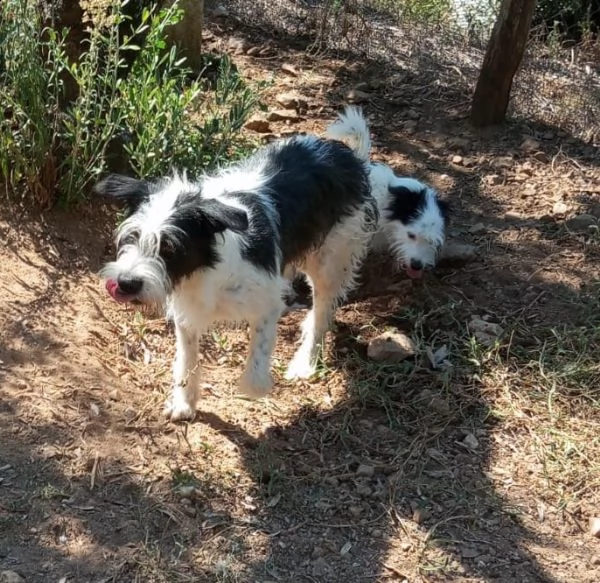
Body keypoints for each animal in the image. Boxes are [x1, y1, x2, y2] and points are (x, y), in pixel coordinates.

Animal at [96, 135, 378, 422]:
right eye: (132, 237)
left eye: (170, 248)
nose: (126, 283)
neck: (207, 267)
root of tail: (339, 150)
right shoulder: (187, 310)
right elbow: (187, 357)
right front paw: (184, 401)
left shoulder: (265, 304)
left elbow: (258, 361)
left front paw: (255, 384)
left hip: (330, 262)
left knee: (322, 312)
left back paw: (304, 361)